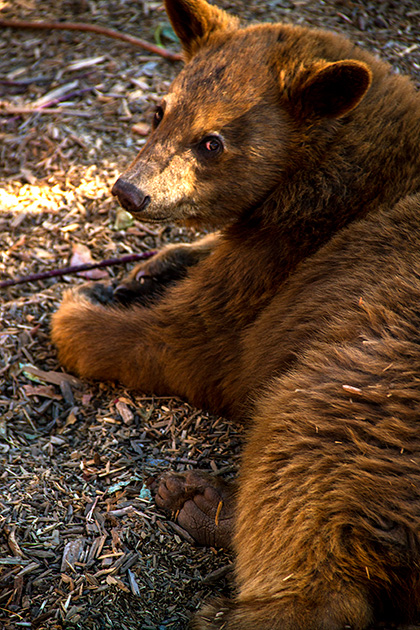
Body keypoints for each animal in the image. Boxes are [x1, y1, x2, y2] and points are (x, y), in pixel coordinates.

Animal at [50, 0, 420, 628]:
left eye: (212, 143)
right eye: (158, 112)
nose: (129, 192)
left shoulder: (286, 258)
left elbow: (193, 343)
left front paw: (80, 310)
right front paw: (154, 268)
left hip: (369, 383)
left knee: (304, 459)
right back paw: (203, 501)